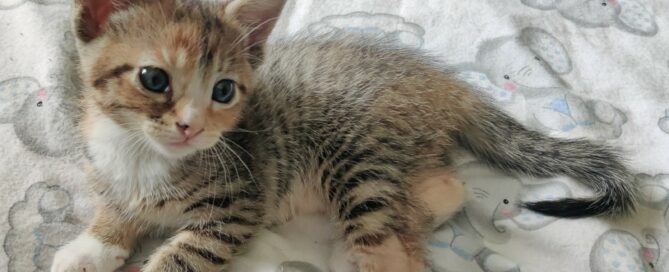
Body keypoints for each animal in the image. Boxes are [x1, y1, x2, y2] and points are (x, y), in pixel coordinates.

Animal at [51, 0, 636, 272]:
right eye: (154, 80)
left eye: (223, 91)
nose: (191, 125)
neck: (141, 154)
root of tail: (447, 86)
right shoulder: (109, 173)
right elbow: (116, 212)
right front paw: (90, 248)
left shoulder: (238, 203)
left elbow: (184, 253)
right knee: (445, 188)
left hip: (355, 151)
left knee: (391, 234)